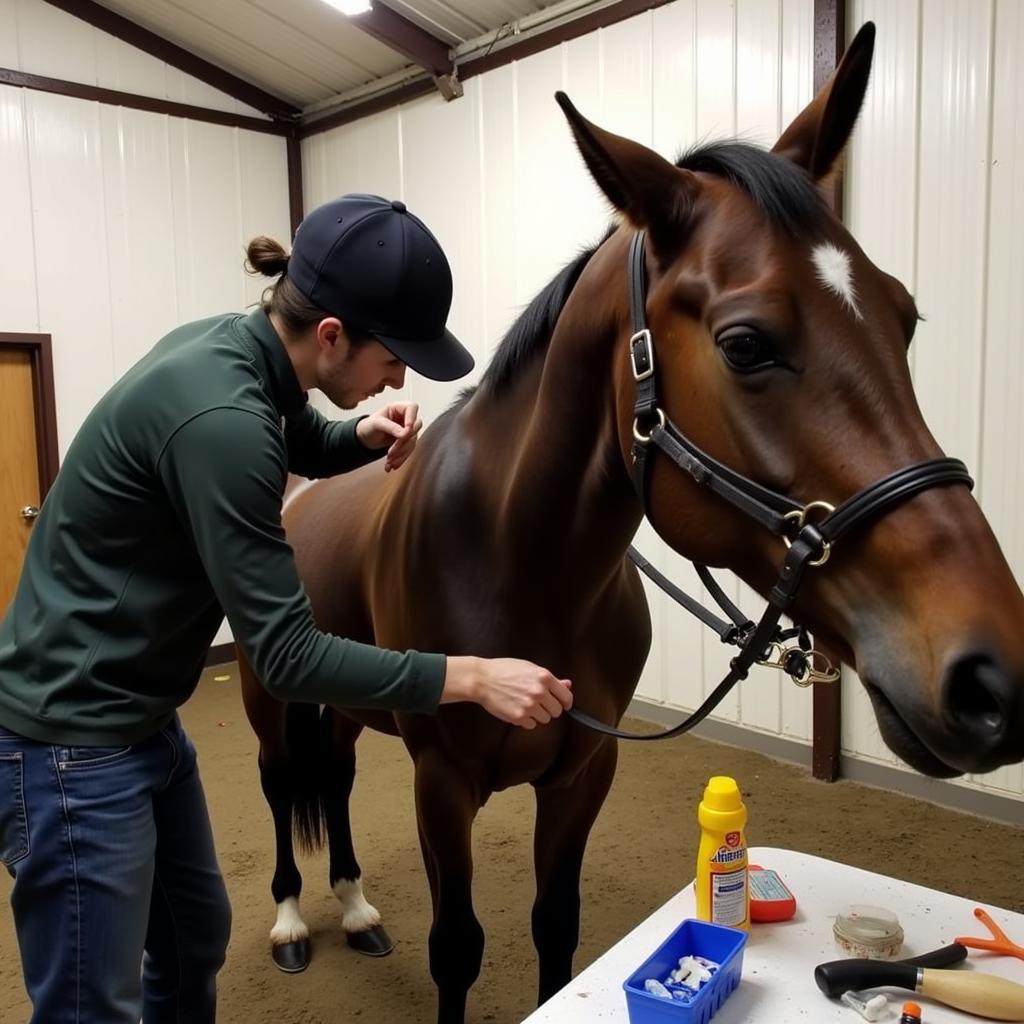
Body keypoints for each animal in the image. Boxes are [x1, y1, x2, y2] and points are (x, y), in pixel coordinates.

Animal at [239, 25, 1024, 1024]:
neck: (516, 560)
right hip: (271, 700)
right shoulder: (440, 782)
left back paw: (355, 904)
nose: (993, 674)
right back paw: (292, 922)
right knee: (280, 788)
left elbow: (557, 928)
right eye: (745, 344)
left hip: (343, 703)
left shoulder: (582, 773)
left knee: (334, 779)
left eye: (907, 317)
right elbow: (458, 947)